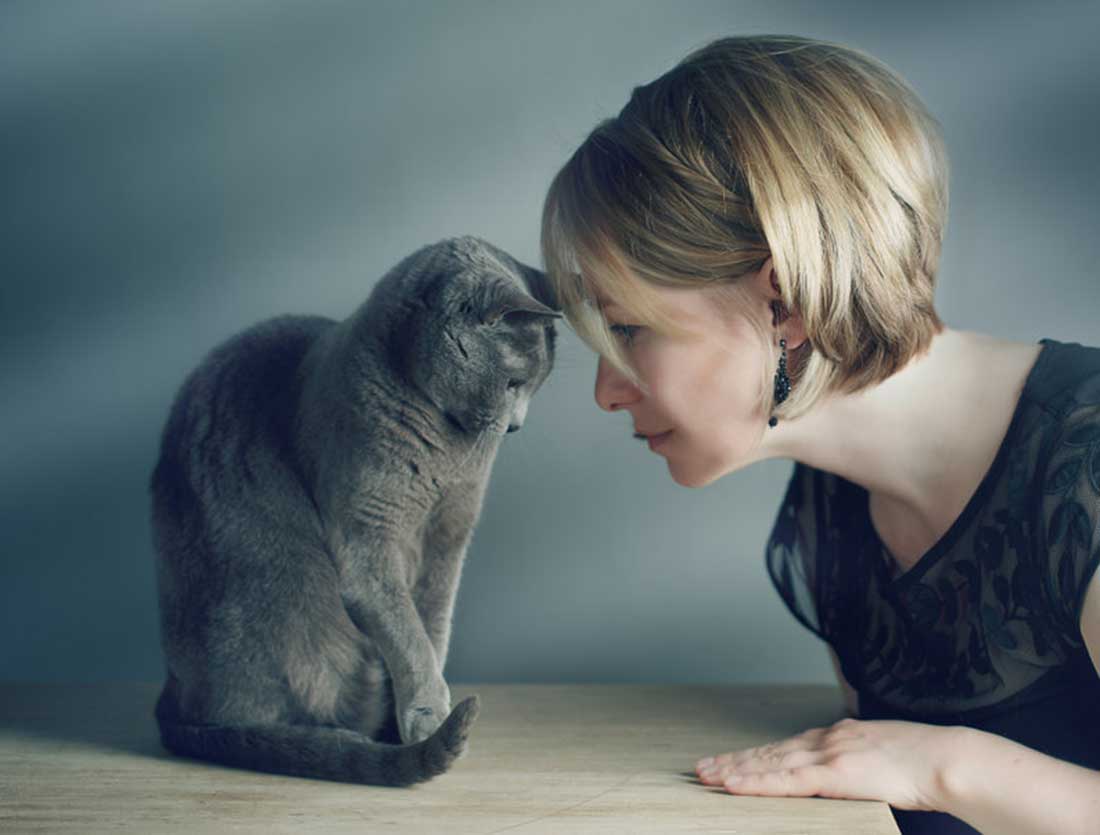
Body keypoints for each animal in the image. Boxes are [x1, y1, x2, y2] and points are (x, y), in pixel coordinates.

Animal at [148, 235, 558, 783]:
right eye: (514, 383)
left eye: (537, 386)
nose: (516, 426)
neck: (447, 450)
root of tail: (173, 697)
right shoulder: (369, 538)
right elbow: (406, 632)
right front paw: (429, 717)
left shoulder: (450, 536)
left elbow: (433, 625)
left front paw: (417, 718)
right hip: (280, 585)